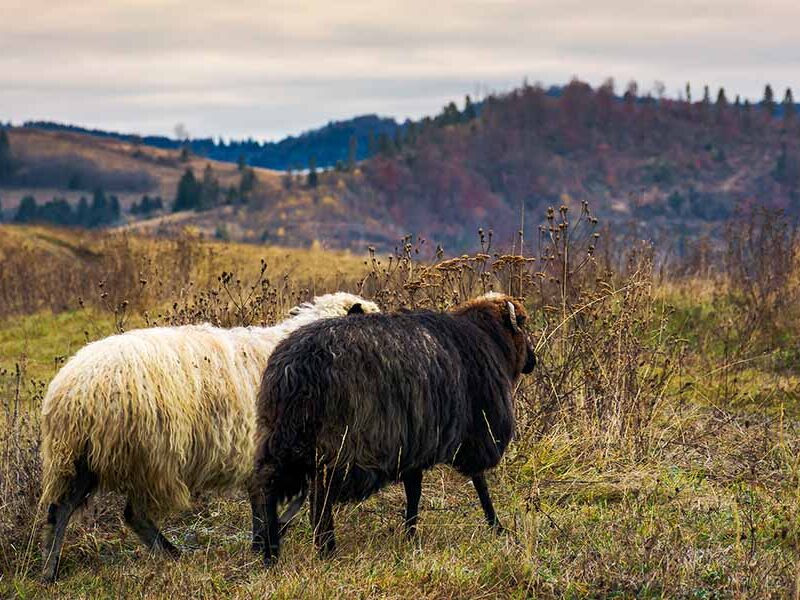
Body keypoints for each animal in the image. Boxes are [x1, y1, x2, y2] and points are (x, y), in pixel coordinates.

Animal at [253, 292, 536, 564]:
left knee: (268, 487)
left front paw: (410, 534)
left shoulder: (415, 443)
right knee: (320, 497)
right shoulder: (476, 432)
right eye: (523, 325)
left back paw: (269, 551)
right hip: (337, 444)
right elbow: (480, 483)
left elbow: (414, 491)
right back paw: (326, 549)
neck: (488, 338)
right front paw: (496, 526)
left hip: (281, 438)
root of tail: (295, 368)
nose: (533, 361)